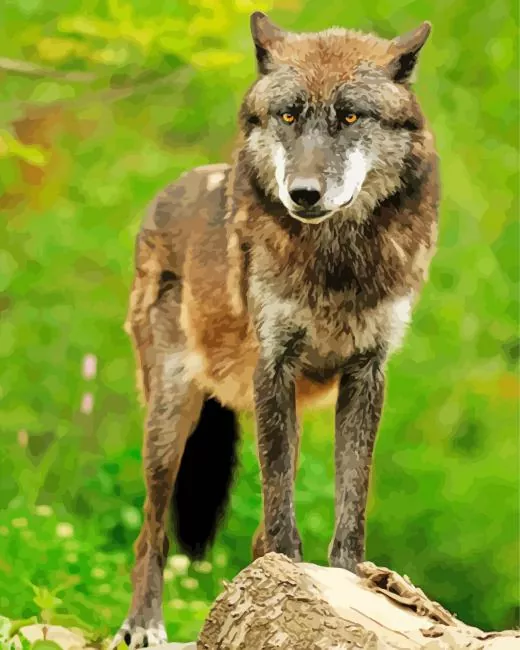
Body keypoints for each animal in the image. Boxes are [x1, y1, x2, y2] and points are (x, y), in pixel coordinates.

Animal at [112, 11, 439, 648]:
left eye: (350, 116)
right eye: (288, 115)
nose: (304, 194)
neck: (337, 261)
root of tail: (163, 194)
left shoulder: (367, 373)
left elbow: (350, 499)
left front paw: (349, 585)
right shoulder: (274, 365)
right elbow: (281, 506)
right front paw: (290, 577)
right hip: (170, 418)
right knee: (151, 531)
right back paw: (144, 623)